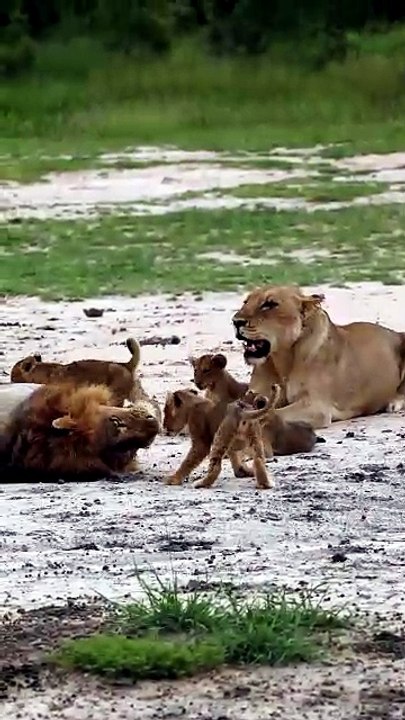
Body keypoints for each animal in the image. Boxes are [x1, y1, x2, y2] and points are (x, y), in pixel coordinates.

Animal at [232, 284, 405, 428]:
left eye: (270, 304)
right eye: (245, 302)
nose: (235, 321)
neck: (282, 359)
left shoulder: (316, 407)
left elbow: (272, 413)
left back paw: (393, 403)